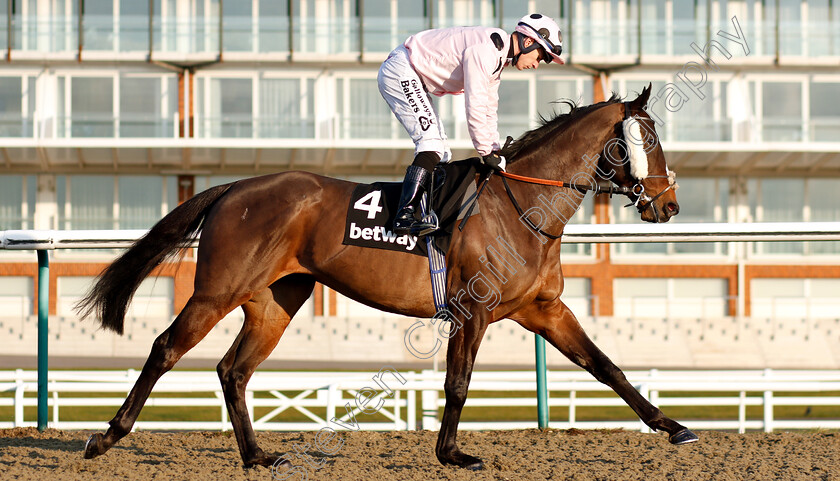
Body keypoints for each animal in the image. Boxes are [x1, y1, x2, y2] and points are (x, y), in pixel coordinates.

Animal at [79, 84, 696, 470]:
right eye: (645, 141)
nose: (668, 206)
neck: (522, 205)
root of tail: (234, 187)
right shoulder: (473, 311)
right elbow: (458, 384)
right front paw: (452, 454)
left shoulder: (543, 308)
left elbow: (606, 366)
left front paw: (671, 425)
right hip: (217, 289)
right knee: (165, 347)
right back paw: (106, 436)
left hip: (275, 300)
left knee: (233, 370)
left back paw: (256, 456)